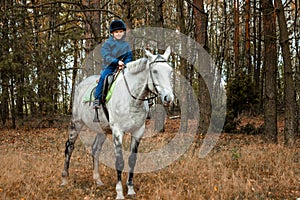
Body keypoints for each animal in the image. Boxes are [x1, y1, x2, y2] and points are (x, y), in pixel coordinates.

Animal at [61, 47, 173, 200]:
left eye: (170, 71)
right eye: (155, 71)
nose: (169, 97)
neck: (133, 99)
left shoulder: (138, 131)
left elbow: (132, 159)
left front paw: (130, 189)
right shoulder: (117, 131)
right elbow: (119, 161)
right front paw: (119, 192)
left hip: (102, 129)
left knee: (95, 149)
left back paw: (97, 180)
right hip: (76, 123)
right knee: (69, 147)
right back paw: (64, 179)